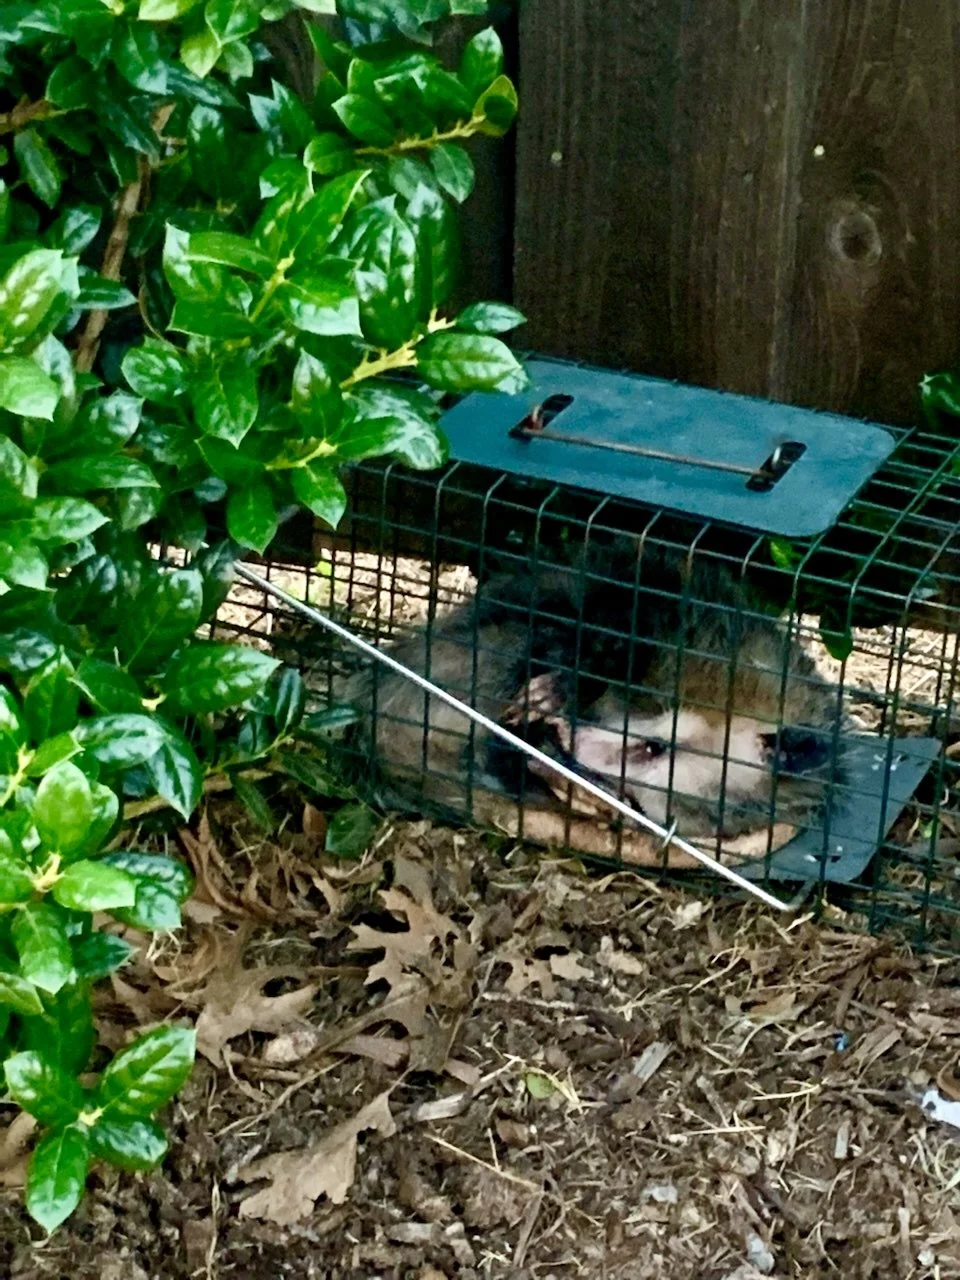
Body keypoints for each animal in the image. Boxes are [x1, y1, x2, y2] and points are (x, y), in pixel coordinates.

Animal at [343, 545, 846, 841]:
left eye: (639, 799)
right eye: (653, 747)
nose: (565, 740)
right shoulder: (658, 604)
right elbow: (608, 621)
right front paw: (559, 690)